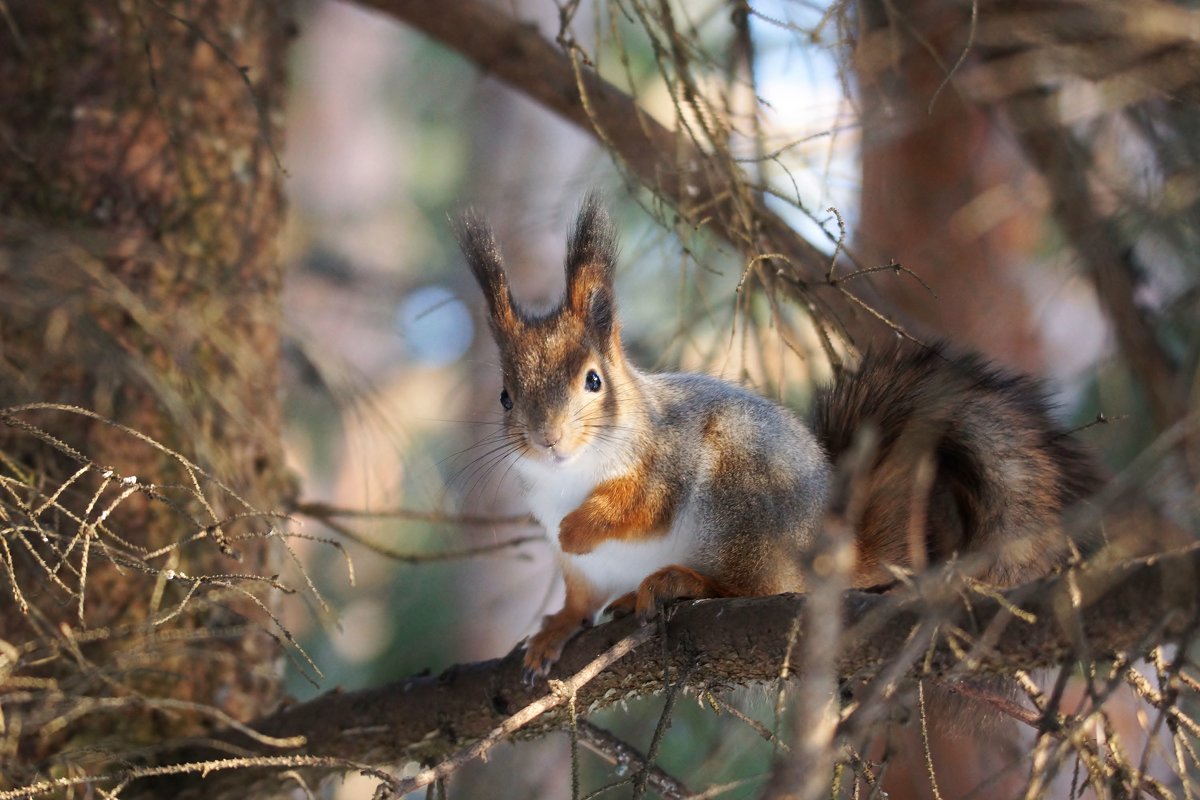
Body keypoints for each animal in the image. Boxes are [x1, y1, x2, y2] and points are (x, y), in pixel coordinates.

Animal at [453, 196, 1099, 681]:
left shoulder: (668, 457)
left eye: (594, 380)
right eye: (505, 396)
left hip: (738, 507)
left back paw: (680, 581)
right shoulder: (577, 567)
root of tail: (834, 548)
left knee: (748, 586)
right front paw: (555, 629)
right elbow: (578, 599)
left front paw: (580, 527)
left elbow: (640, 506)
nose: (548, 437)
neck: (572, 475)